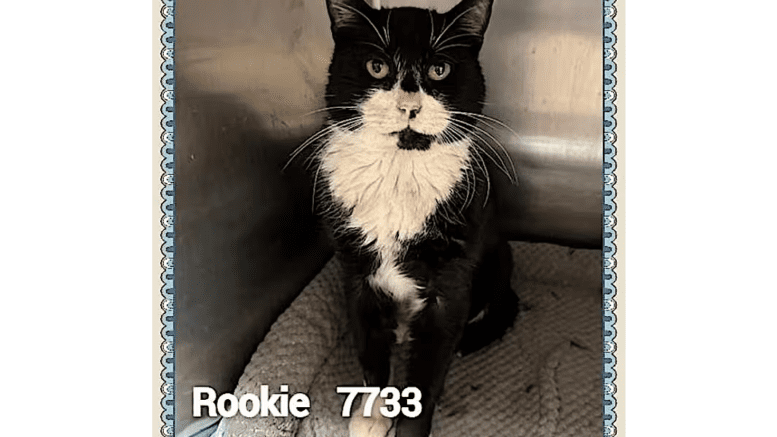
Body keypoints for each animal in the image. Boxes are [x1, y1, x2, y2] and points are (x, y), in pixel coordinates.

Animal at [300, 0, 520, 432]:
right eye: (377, 67)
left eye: (440, 70)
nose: (408, 106)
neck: (398, 169)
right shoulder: (357, 276)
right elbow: (369, 351)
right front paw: (372, 414)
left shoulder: (450, 285)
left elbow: (429, 370)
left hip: (498, 256)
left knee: (503, 303)